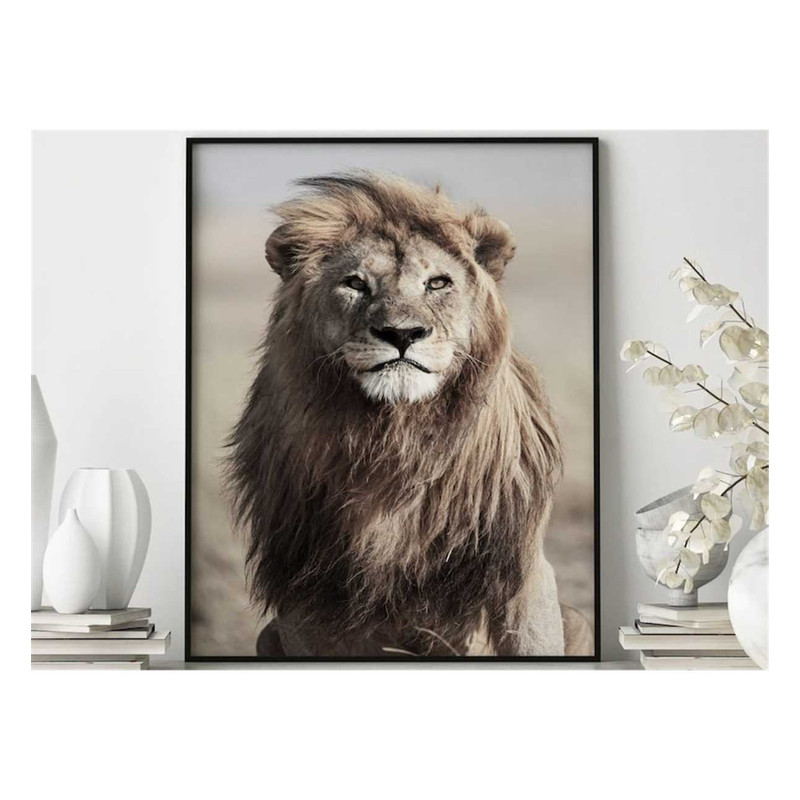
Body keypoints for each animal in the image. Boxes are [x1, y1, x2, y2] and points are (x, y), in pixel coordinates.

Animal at [226, 171, 593, 657]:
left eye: (437, 283)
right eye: (355, 283)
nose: (402, 334)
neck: (397, 440)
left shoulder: (520, 569)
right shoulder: (306, 595)